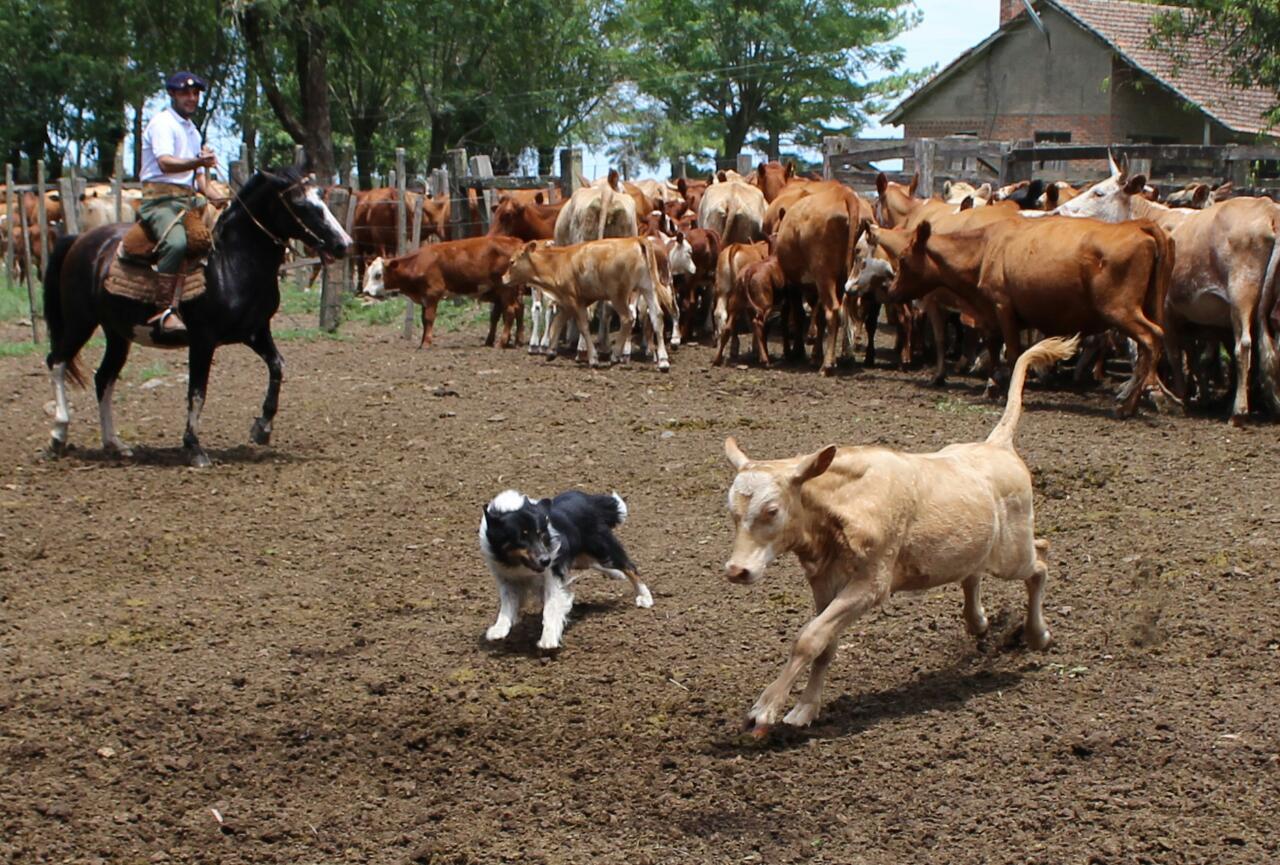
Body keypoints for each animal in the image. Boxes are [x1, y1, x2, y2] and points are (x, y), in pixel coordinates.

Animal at [43, 161, 353, 465]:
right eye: (301, 203)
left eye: (321, 197)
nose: (344, 244)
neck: (231, 263)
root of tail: (79, 240)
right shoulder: (203, 339)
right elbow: (197, 391)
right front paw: (194, 447)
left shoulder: (255, 331)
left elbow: (277, 366)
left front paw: (262, 428)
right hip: (80, 321)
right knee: (57, 362)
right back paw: (58, 435)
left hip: (118, 333)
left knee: (103, 378)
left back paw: (115, 444)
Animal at [360, 235, 524, 350]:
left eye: (378, 275)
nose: (366, 292)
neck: (418, 263)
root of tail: (515, 241)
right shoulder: (424, 298)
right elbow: (423, 320)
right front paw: (422, 342)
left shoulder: (433, 294)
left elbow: (429, 318)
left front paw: (427, 343)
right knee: (517, 310)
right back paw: (516, 341)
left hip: (506, 289)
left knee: (510, 311)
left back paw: (501, 343)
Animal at [481, 486, 655, 650]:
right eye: (521, 538)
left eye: (541, 534)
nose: (545, 560)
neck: (519, 564)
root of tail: (588, 499)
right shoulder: (506, 578)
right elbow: (507, 603)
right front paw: (499, 629)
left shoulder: (553, 572)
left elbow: (551, 606)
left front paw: (548, 639)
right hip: (581, 556)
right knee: (596, 563)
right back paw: (616, 574)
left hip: (603, 548)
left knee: (629, 567)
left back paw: (645, 596)